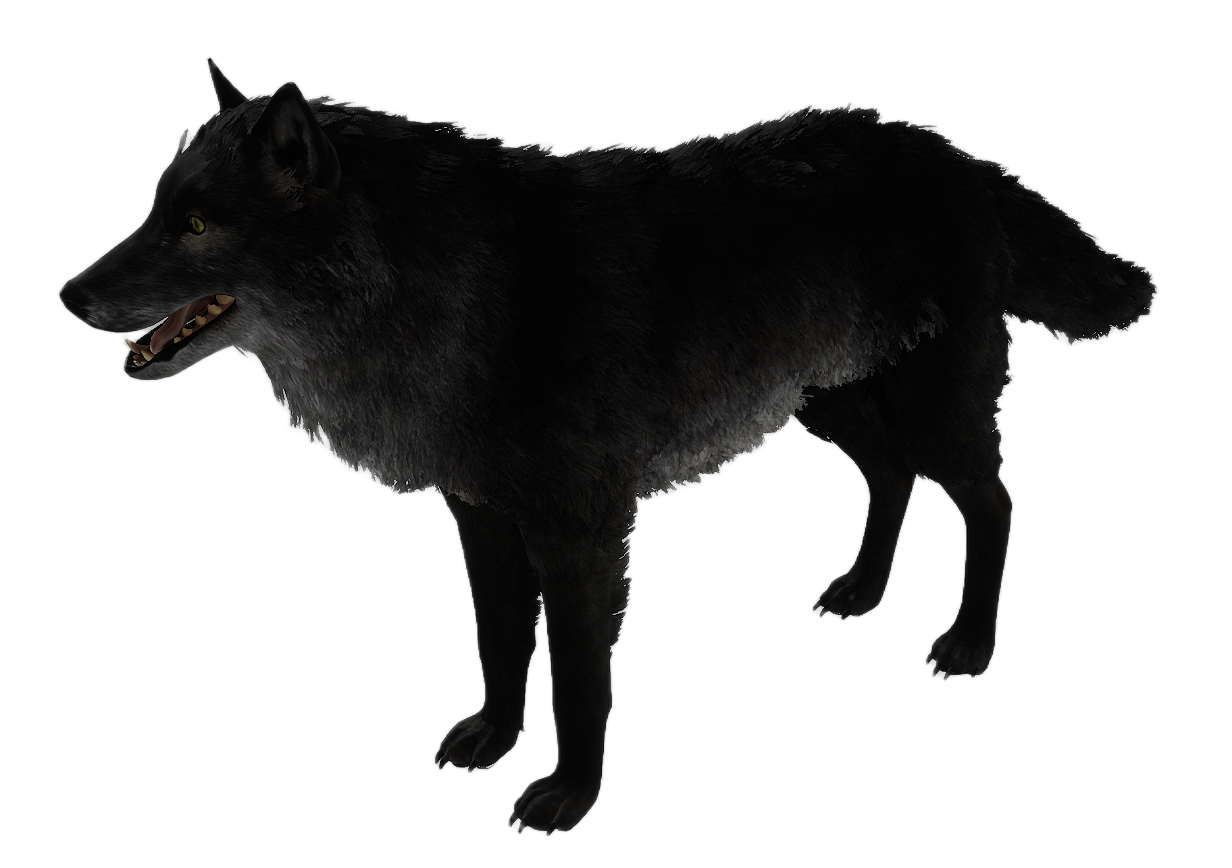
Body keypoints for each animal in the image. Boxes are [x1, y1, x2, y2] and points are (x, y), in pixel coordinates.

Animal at [56, 56, 1160, 835]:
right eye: (154, 207)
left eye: (198, 225)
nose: (67, 295)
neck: (456, 287)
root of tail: (963, 158)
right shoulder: (482, 519)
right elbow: (502, 643)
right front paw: (494, 739)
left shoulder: (584, 532)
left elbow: (582, 677)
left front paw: (568, 795)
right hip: (827, 402)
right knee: (891, 478)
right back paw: (857, 592)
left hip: (929, 405)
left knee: (992, 501)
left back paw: (968, 645)